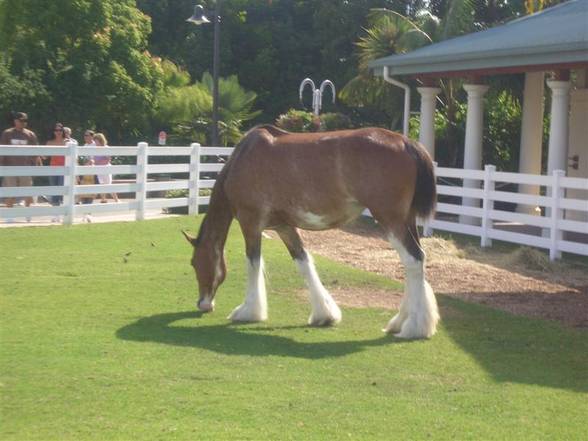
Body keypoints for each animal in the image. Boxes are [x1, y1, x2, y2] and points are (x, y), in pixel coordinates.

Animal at [184, 125, 440, 338]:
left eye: (194, 263)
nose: (202, 303)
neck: (243, 158)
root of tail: (405, 142)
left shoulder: (251, 223)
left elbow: (253, 263)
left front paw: (249, 311)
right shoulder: (284, 226)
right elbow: (303, 262)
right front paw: (325, 314)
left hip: (391, 220)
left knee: (413, 260)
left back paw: (414, 327)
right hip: (406, 220)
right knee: (414, 262)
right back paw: (399, 322)